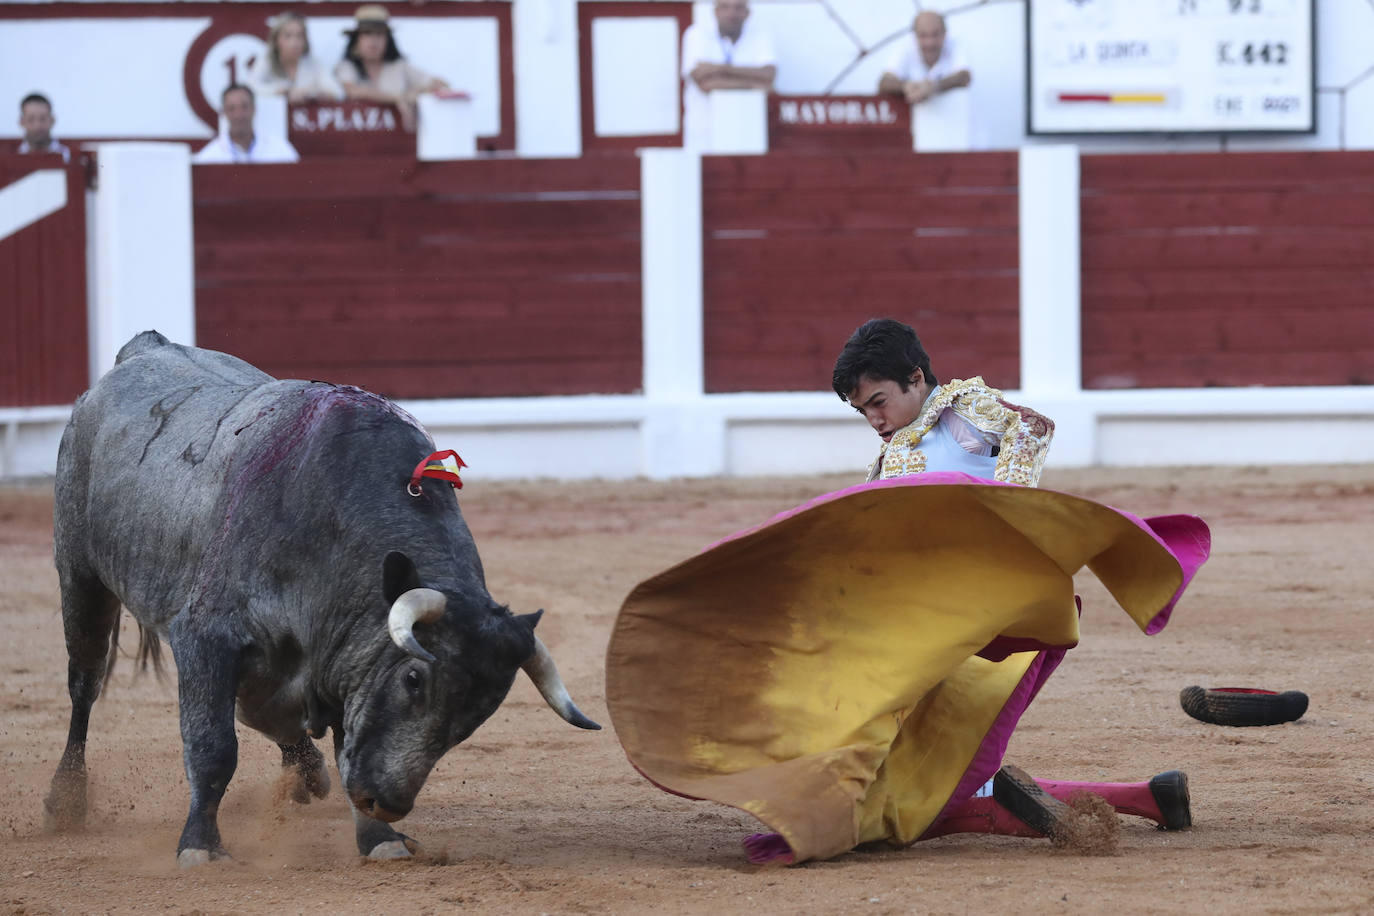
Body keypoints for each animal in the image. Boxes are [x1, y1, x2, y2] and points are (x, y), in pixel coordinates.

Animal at [42, 330, 599, 867]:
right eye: (414, 678)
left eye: (478, 715)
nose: (386, 802)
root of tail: (144, 347)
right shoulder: (205, 639)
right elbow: (213, 746)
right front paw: (200, 845)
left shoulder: (341, 666)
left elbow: (339, 741)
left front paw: (379, 838)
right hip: (81, 579)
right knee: (85, 685)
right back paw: (64, 802)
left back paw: (306, 776)